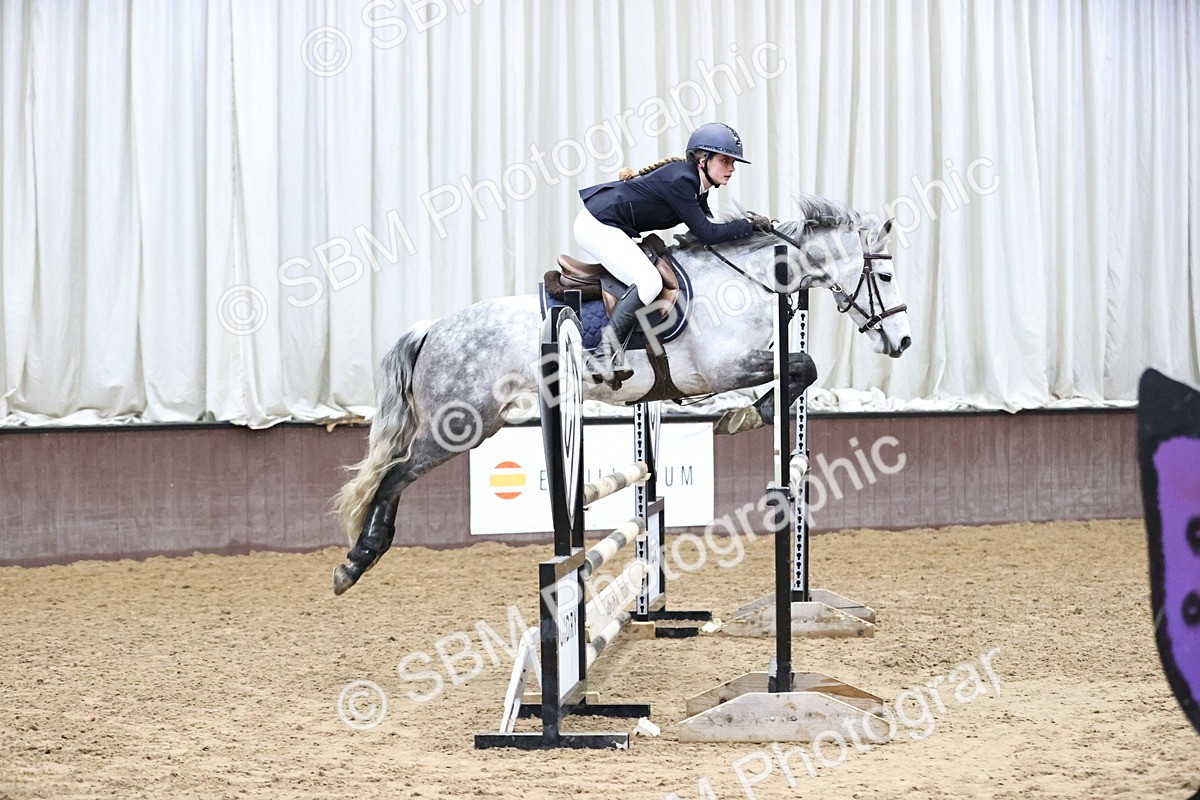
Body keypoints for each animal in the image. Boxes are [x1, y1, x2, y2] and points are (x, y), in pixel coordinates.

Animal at [331, 196, 912, 595]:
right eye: (884, 274)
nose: (903, 342)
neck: (747, 280)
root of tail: (432, 329)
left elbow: (800, 369)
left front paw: (750, 414)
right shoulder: (722, 370)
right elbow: (802, 366)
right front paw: (749, 415)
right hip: (461, 424)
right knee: (393, 474)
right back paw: (357, 560)